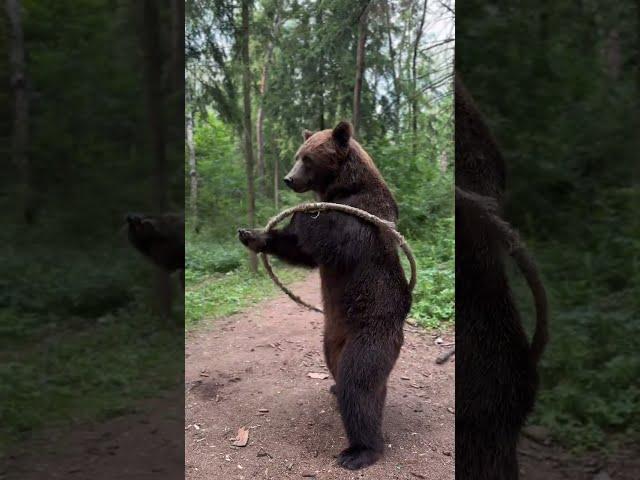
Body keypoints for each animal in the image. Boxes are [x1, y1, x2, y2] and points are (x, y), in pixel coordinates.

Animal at [238, 122, 412, 470]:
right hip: (331, 337)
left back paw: (359, 450)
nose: (289, 179)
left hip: (371, 330)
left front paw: (303, 215)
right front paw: (252, 235)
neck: (340, 189)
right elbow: (302, 250)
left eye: (307, 158)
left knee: (359, 384)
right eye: (297, 155)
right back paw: (335, 386)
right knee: (343, 370)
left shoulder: (363, 215)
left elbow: (336, 239)